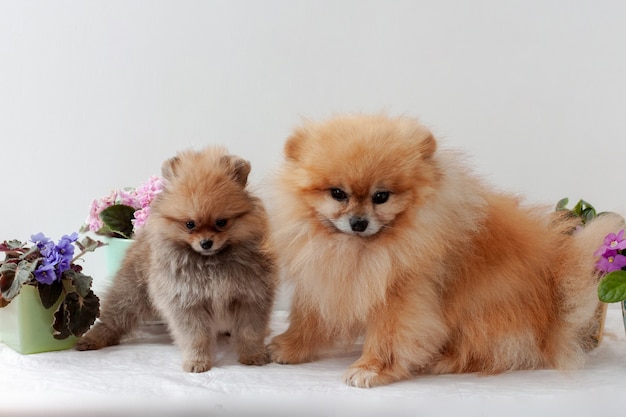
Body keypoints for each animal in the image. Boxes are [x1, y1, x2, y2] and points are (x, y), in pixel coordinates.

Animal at [76, 145, 276, 370]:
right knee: (114, 317)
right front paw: (197, 361)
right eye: (190, 224)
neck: (211, 263)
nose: (206, 243)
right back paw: (92, 339)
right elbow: (196, 337)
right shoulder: (187, 302)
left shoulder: (250, 297)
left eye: (221, 222)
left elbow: (250, 332)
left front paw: (253, 355)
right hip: (131, 291)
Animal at [266, 114, 620, 386]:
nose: (358, 222)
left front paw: (370, 369)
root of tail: (554, 320)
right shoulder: (325, 281)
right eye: (337, 193)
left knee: (489, 352)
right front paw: (289, 346)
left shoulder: (401, 296)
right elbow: (309, 320)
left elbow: (387, 337)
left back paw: (443, 360)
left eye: (381, 196)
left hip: (481, 312)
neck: (361, 249)